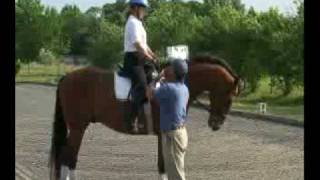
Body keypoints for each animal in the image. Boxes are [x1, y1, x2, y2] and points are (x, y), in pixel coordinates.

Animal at [48, 54, 241, 179]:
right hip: (78, 127)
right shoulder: (164, 132)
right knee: (68, 158)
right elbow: (164, 165)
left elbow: (162, 165)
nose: (216, 124)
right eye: (230, 97)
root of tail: (66, 77)